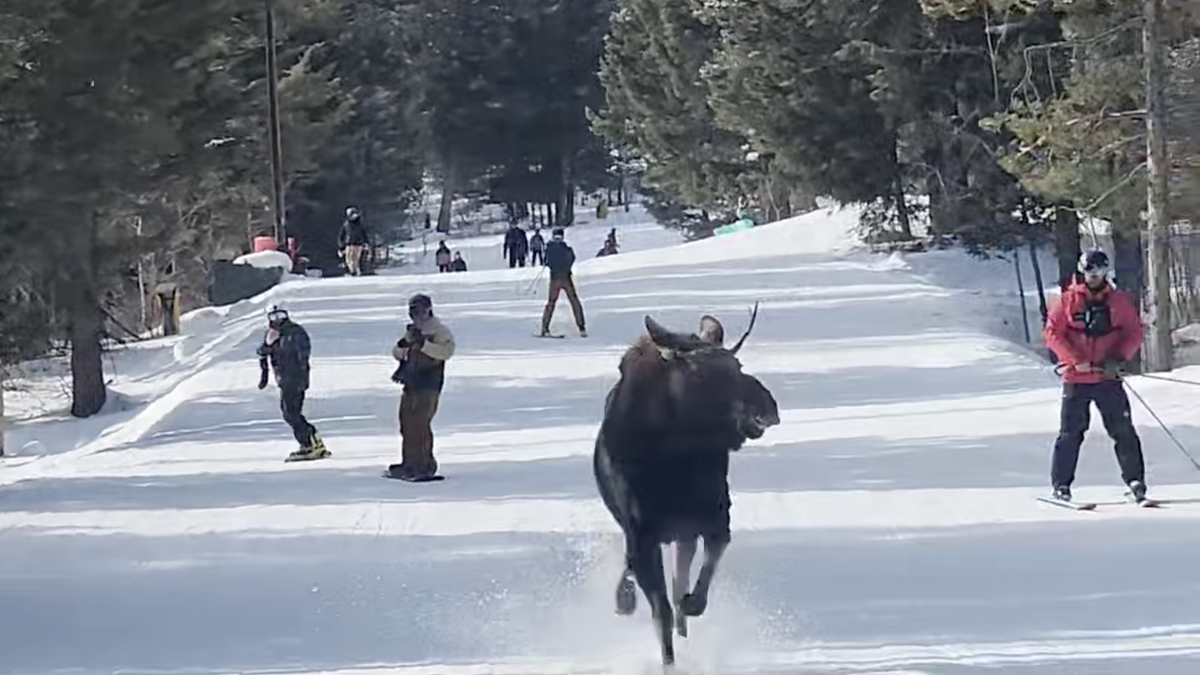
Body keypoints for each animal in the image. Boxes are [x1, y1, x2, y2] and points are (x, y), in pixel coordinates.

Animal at [595, 303, 782, 662]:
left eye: (737, 364)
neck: (673, 461)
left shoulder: (715, 514)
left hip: (681, 531)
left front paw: (691, 605)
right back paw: (626, 599)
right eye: (701, 373)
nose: (768, 406)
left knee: (680, 571)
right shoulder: (642, 535)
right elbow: (661, 615)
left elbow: (701, 573)